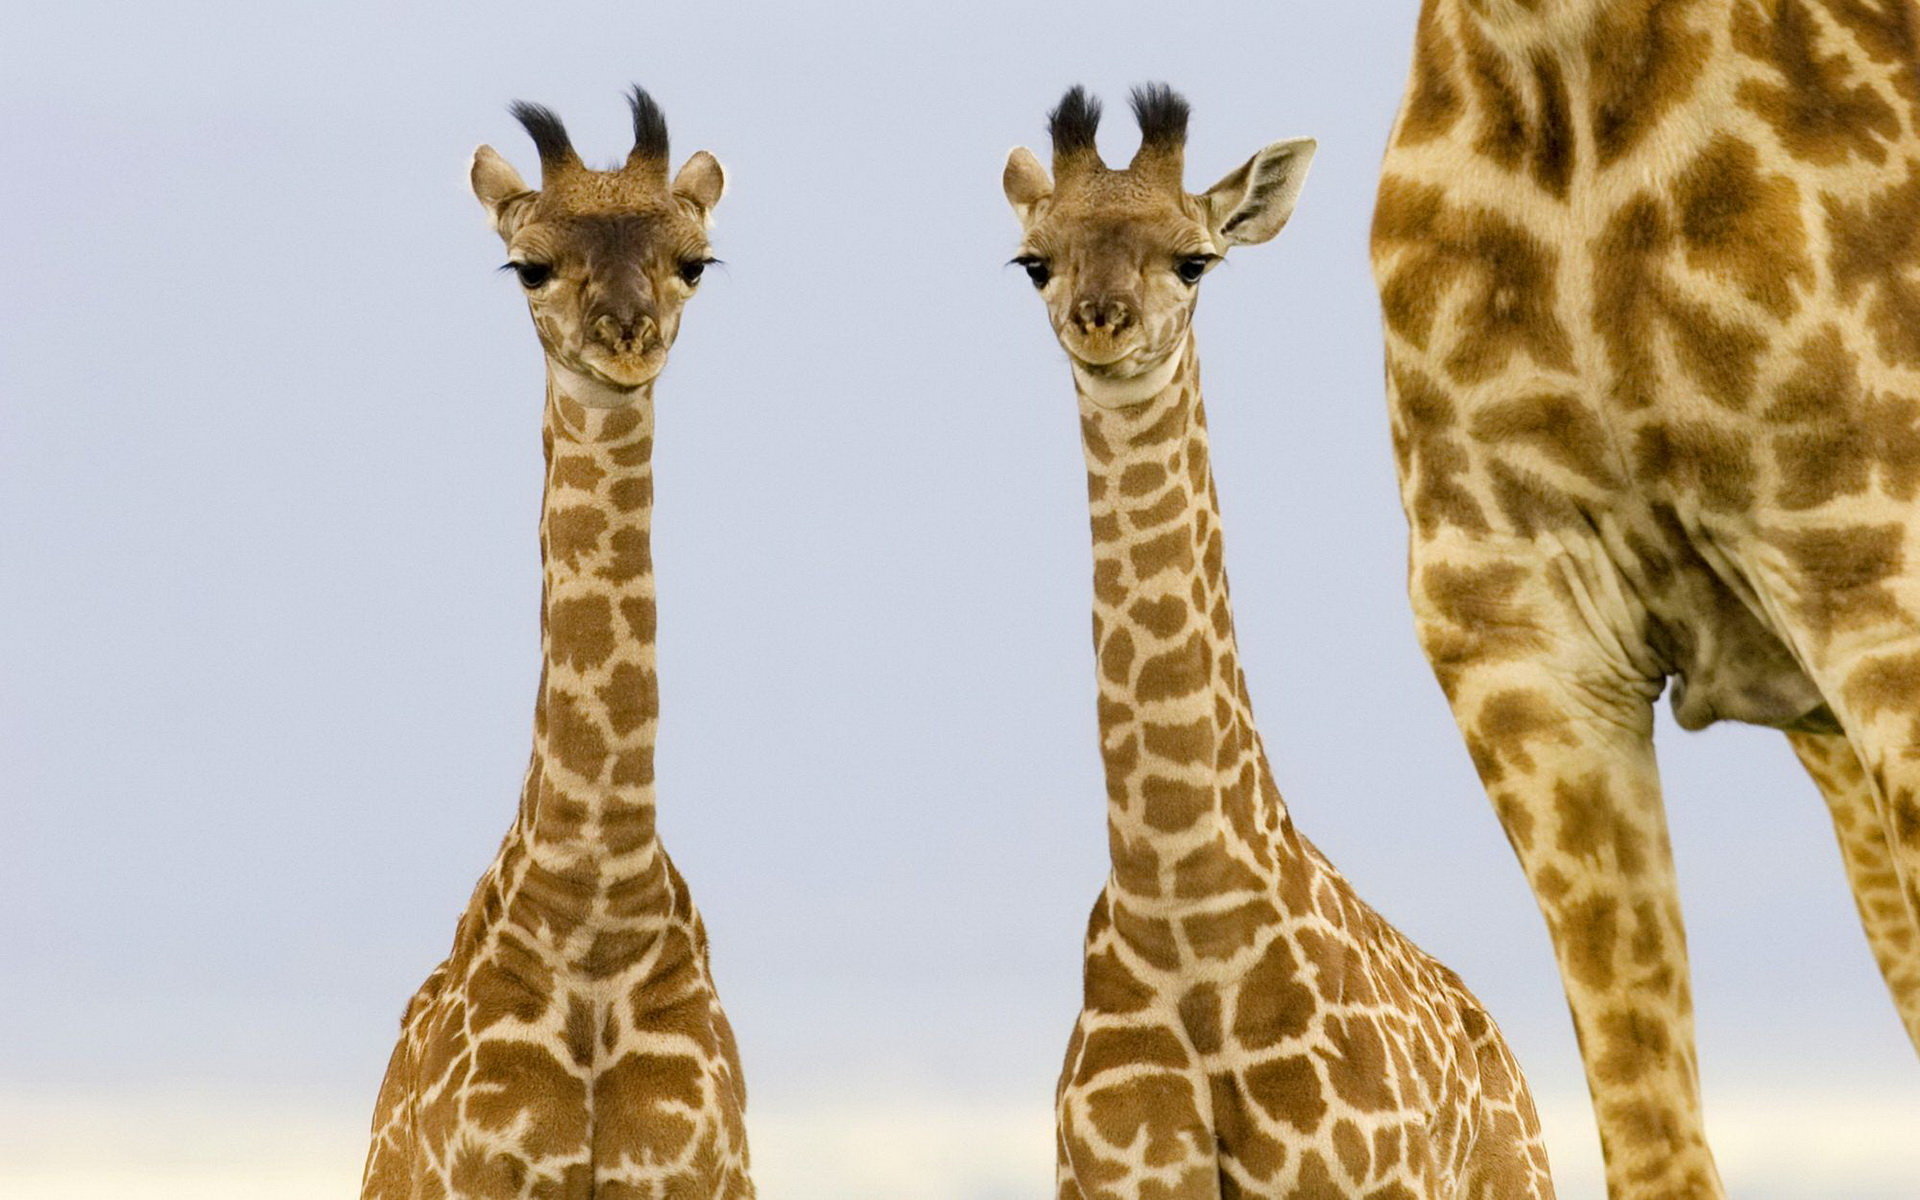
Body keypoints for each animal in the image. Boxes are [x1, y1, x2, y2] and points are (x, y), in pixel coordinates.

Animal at [360, 89, 752, 1200]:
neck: (596, 909)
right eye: (529, 264)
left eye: (694, 260)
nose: (627, 337)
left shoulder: (696, 1173)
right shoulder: (477, 1174)